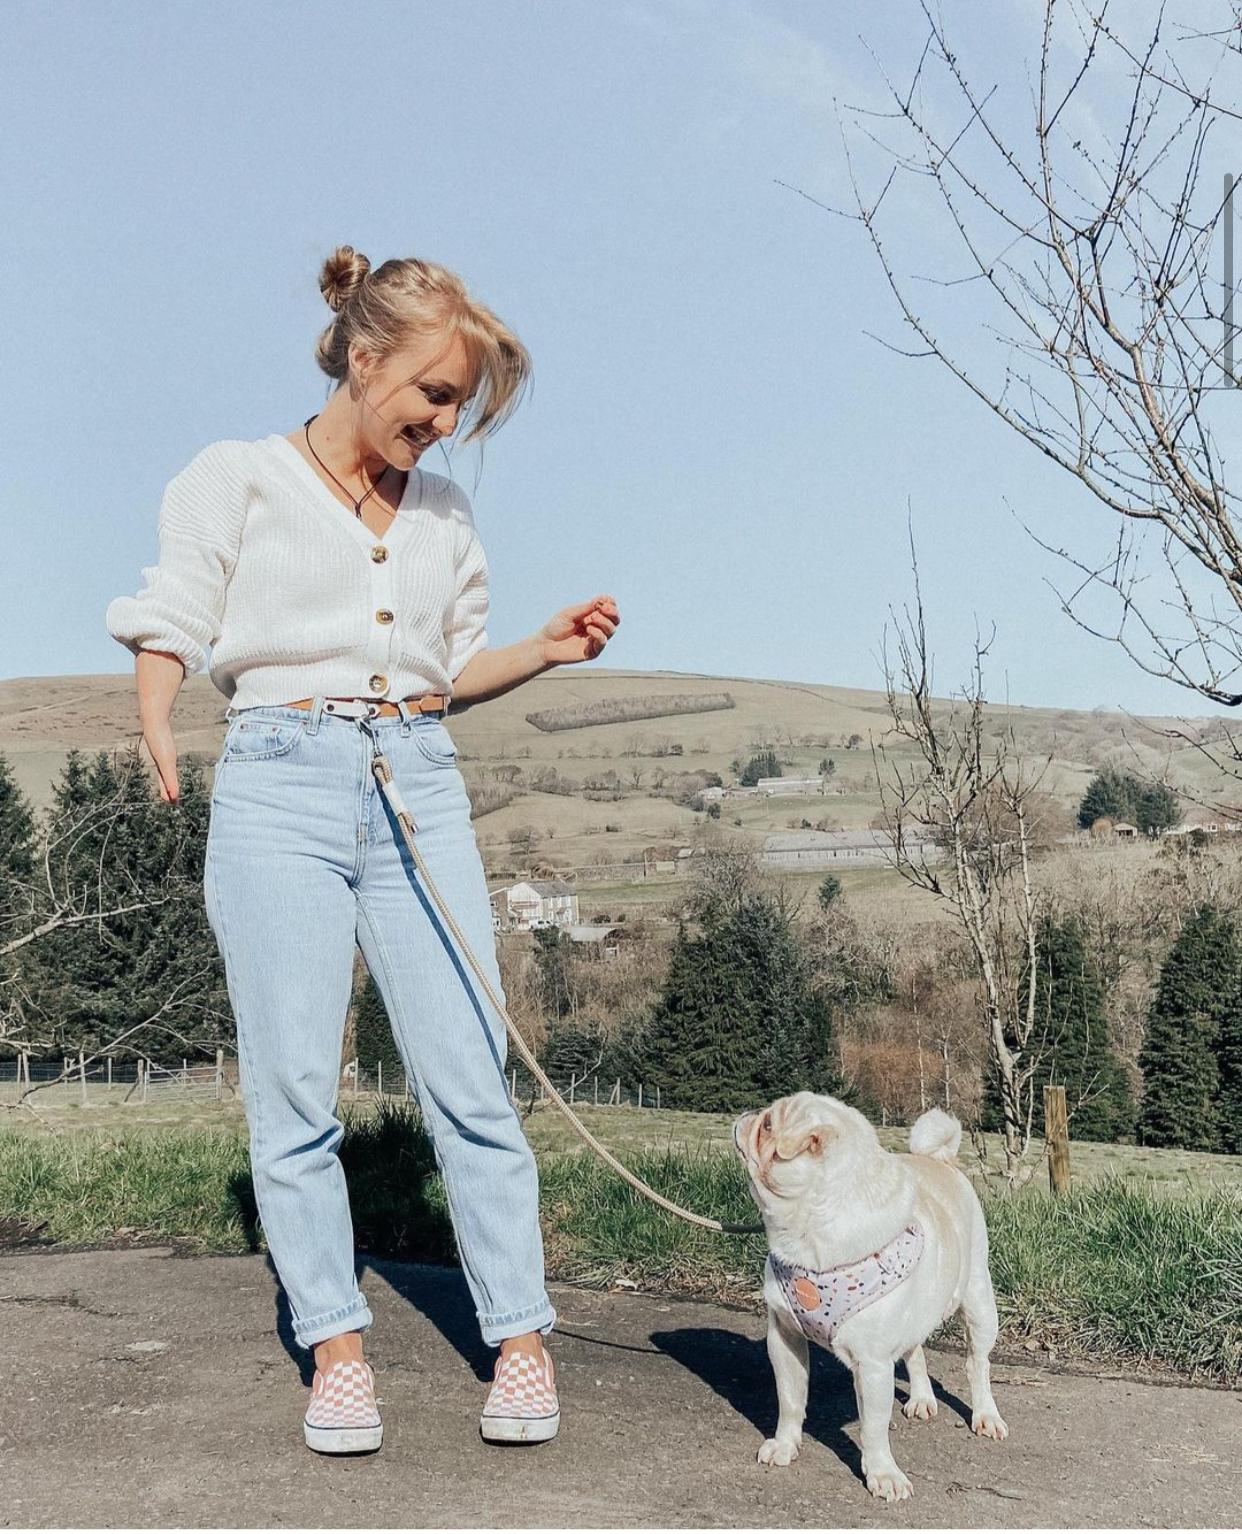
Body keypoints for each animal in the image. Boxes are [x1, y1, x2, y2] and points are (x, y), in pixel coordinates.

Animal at [733, 1092, 1008, 1502]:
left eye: (768, 1124)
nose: (749, 1113)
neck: (809, 1231)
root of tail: (938, 1159)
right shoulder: (784, 1338)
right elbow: (790, 1399)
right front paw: (784, 1445)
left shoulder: (873, 1364)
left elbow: (873, 1426)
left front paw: (881, 1473)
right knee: (915, 1350)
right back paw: (922, 1398)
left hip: (978, 1303)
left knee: (978, 1365)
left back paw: (986, 1415)